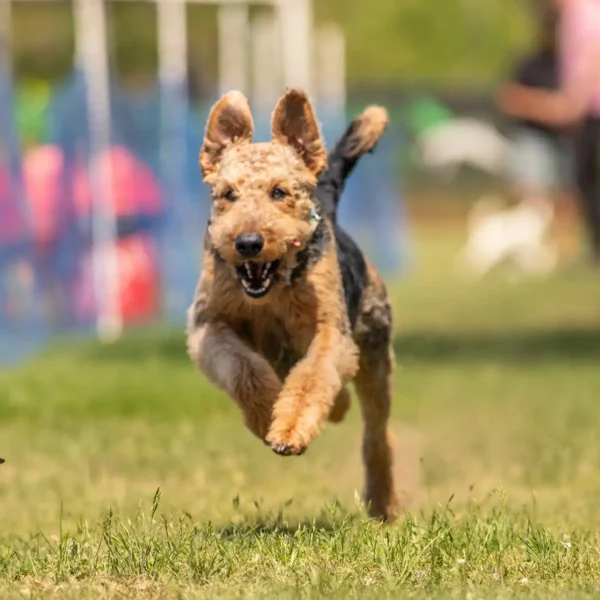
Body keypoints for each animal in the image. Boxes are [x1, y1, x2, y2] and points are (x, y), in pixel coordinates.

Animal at [186, 89, 399, 521]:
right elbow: (245, 371)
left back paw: (383, 505)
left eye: (279, 192)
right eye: (228, 194)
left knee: (377, 434)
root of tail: (327, 199)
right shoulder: (207, 326)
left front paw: (288, 432)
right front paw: (268, 416)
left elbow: (311, 379)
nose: (248, 242)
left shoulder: (330, 331)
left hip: (374, 353)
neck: (272, 291)